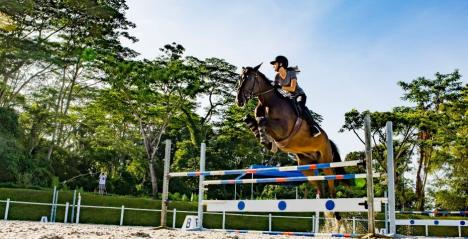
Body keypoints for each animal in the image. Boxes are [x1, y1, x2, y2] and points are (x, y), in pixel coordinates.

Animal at [236, 63, 346, 202]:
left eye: (248, 79)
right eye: (240, 78)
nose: (238, 101)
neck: (269, 103)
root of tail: (328, 140)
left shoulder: (283, 129)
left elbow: (262, 120)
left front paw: (265, 140)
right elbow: (253, 120)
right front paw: (264, 139)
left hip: (326, 162)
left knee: (331, 187)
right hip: (307, 167)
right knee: (321, 190)